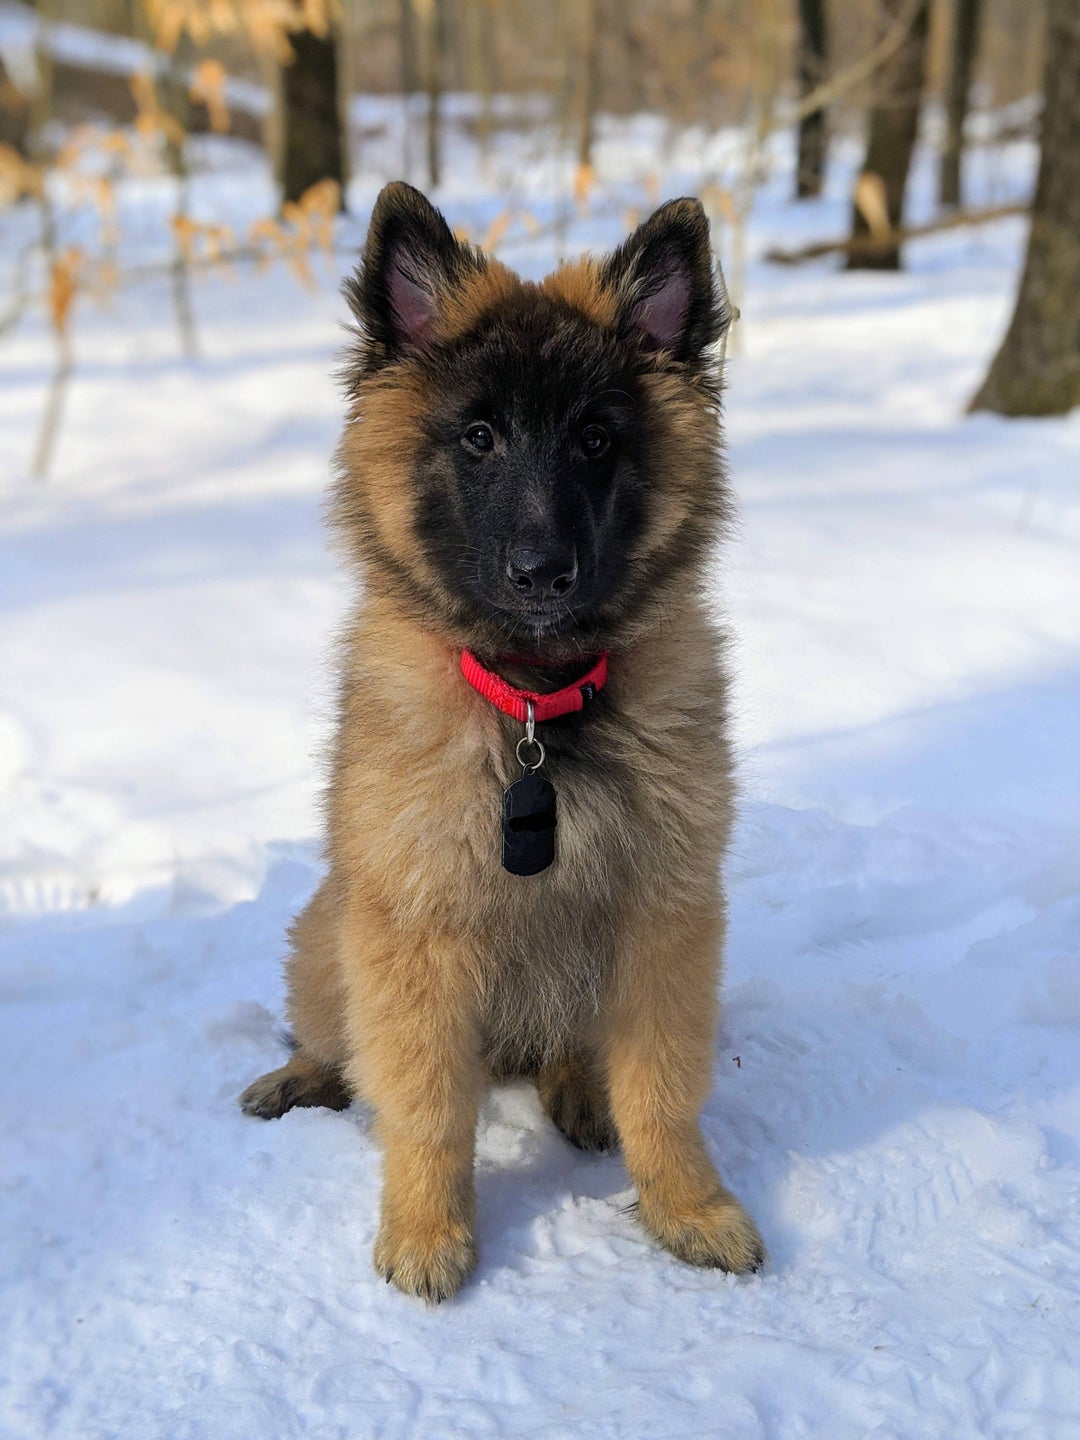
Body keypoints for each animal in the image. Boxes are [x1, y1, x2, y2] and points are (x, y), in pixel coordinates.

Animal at [243, 182, 771, 1307]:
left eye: (595, 440)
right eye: (479, 438)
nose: (542, 571)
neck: (535, 708)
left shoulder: (662, 917)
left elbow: (661, 1087)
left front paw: (689, 1207)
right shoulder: (415, 929)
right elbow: (425, 1107)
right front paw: (426, 1230)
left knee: (575, 1050)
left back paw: (578, 1093)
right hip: (328, 926)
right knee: (334, 1034)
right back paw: (300, 1076)